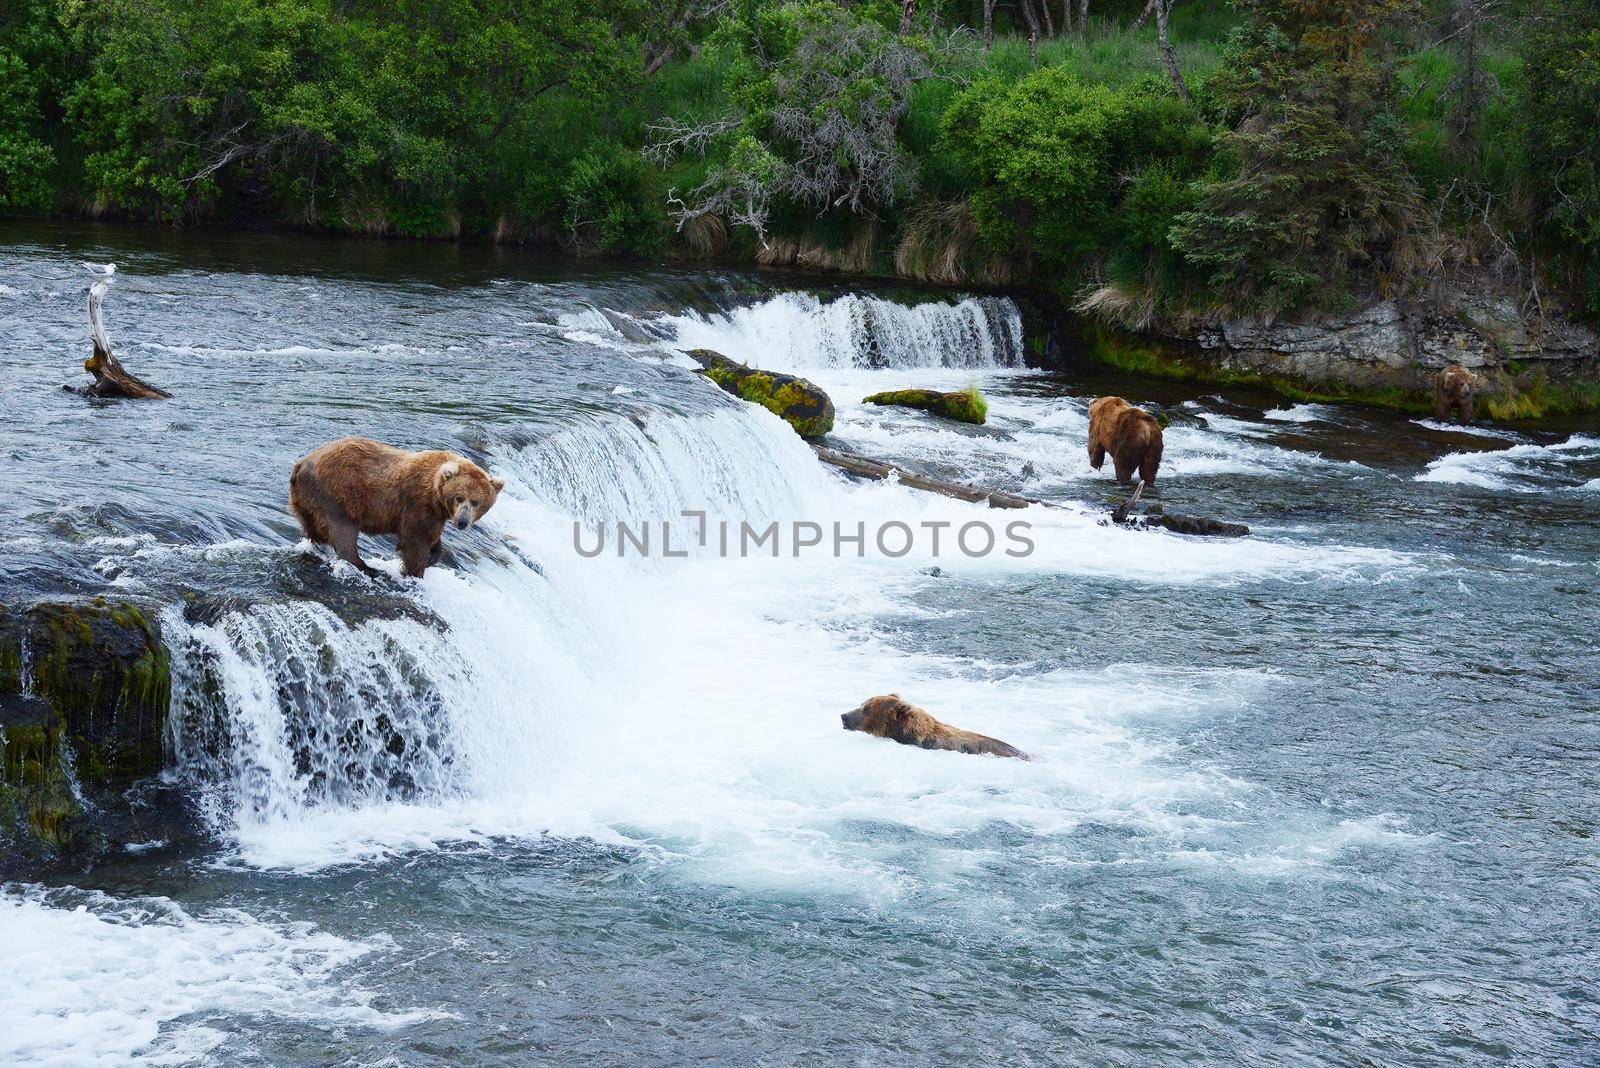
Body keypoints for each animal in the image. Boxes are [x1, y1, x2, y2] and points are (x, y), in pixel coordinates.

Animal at [291, 438, 502, 578]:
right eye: (459, 498)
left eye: (476, 502)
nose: (462, 522)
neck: (437, 496)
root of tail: (302, 463)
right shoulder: (417, 504)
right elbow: (416, 540)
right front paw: (415, 571)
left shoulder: (435, 513)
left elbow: (432, 538)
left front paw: (433, 556)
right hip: (340, 492)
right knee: (344, 530)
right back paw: (366, 567)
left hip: (306, 499)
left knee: (314, 527)